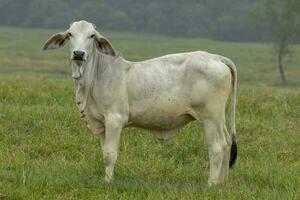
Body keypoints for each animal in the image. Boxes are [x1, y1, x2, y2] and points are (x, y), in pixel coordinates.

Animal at [43, 20, 238, 186]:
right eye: (70, 34)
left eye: (92, 35)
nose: (78, 54)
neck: (94, 78)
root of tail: (217, 57)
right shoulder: (102, 123)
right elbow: (104, 152)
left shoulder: (114, 120)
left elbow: (110, 154)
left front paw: (108, 182)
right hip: (218, 119)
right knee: (227, 143)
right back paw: (223, 182)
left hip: (210, 117)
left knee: (217, 147)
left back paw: (212, 184)